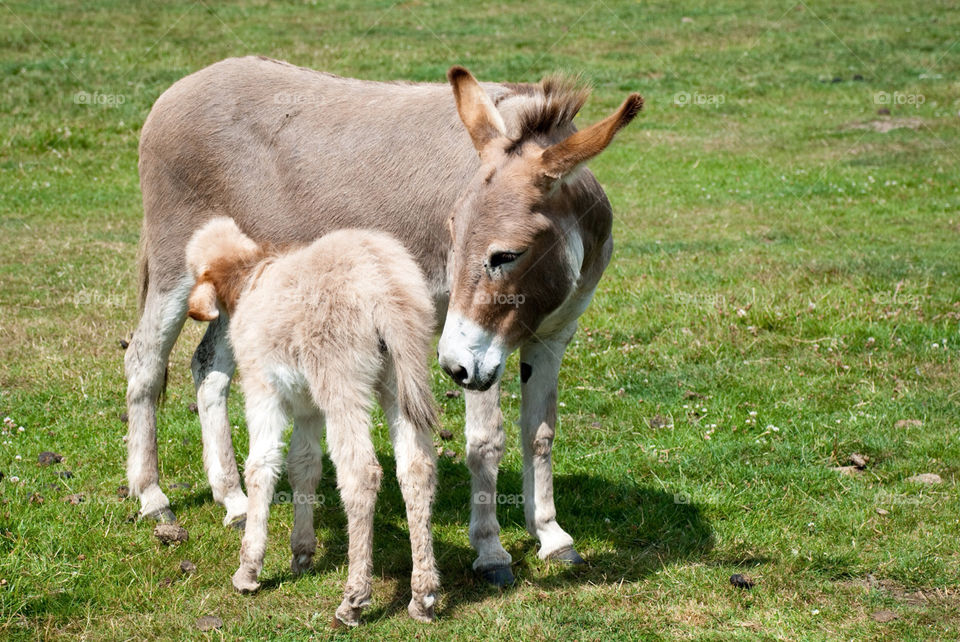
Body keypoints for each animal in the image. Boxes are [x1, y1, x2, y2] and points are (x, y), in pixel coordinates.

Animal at [186, 218, 440, 624]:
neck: (253, 275)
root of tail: (383, 282)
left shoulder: (262, 388)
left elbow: (261, 467)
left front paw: (248, 569)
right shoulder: (307, 408)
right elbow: (302, 466)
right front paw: (302, 551)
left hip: (341, 382)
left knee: (360, 474)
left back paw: (354, 598)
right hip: (400, 381)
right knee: (417, 469)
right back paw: (423, 596)